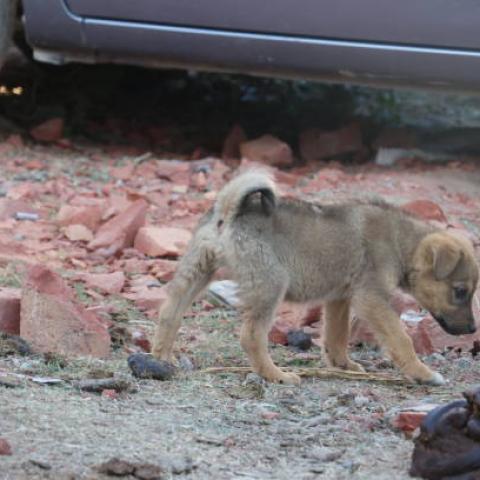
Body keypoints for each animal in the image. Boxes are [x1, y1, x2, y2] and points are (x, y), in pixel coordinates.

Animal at [152, 171, 478, 384]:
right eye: (460, 291)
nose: (472, 329)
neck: (401, 241)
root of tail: (230, 209)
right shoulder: (371, 298)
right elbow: (401, 339)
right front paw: (422, 373)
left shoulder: (339, 298)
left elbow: (336, 337)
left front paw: (343, 366)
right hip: (270, 286)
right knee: (251, 336)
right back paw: (277, 375)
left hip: (196, 271)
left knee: (169, 315)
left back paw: (161, 359)